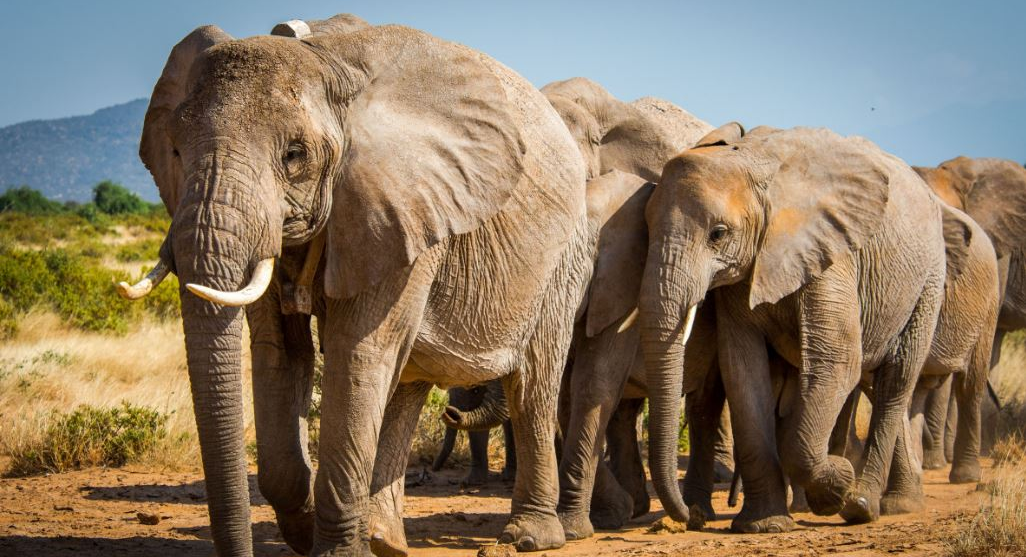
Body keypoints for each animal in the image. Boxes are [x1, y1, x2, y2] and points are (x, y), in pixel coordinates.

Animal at [116, 15, 594, 556]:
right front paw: (305, 529)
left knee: (532, 384)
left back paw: (529, 537)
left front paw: (334, 548)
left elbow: (355, 351)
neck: (325, 62)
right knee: (408, 380)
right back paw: (386, 539)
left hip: (563, 260)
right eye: (175, 150)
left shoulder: (403, 207)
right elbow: (280, 352)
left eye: (294, 155)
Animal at [640, 123, 951, 532]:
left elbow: (837, 359)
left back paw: (860, 506)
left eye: (718, 233)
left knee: (894, 381)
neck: (752, 162)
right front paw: (764, 525)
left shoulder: (831, 252)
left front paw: (838, 483)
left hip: (928, 280)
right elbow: (743, 370)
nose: (690, 518)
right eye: (645, 230)